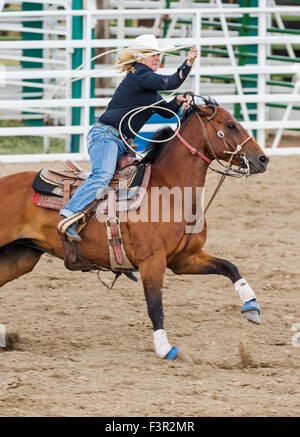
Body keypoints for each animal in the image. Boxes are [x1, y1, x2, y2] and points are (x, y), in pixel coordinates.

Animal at [0, 99, 268, 362]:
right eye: (231, 125)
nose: (263, 159)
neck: (167, 191)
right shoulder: (153, 262)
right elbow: (155, 306)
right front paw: (166, 349)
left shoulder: (184, 260)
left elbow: (230, 267)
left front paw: (251, 306)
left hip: (21, 257)